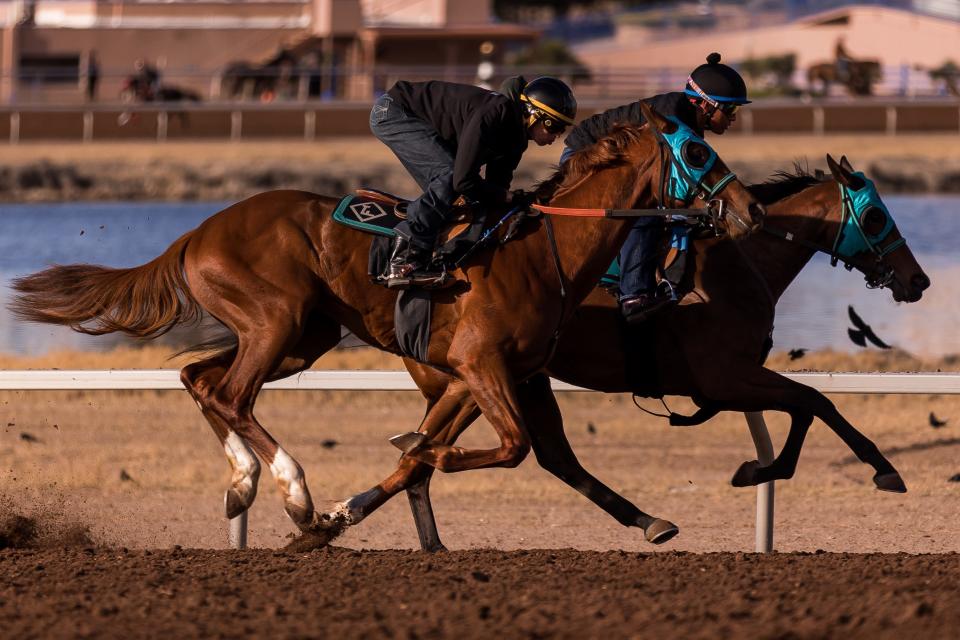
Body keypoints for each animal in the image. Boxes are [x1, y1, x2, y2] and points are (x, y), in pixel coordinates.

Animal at [9, 102, 764, 536]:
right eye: (698, 152)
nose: (750, 209)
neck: (545, 249)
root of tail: (196, 233)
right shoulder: (481, 365)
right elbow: (510, 447)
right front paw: (351, 497)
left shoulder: (478, 374)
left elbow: (453, 451)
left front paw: (354, 505)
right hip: (276, 318)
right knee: (229, 394)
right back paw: (291, 489)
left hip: (301, 338)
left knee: (200, 379)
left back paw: (244, 485)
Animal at [322, 154, 928, 552]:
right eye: (876, 216)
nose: (917, 280)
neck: (739, 261)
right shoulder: (724, 376)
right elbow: (816, 402)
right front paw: (881, 471)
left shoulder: (726, 382)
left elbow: (806, 406)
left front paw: (760, 468)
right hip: (487, 374)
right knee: (482, 450)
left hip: (504, 377)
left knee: (477, 451)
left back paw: (354, 515)